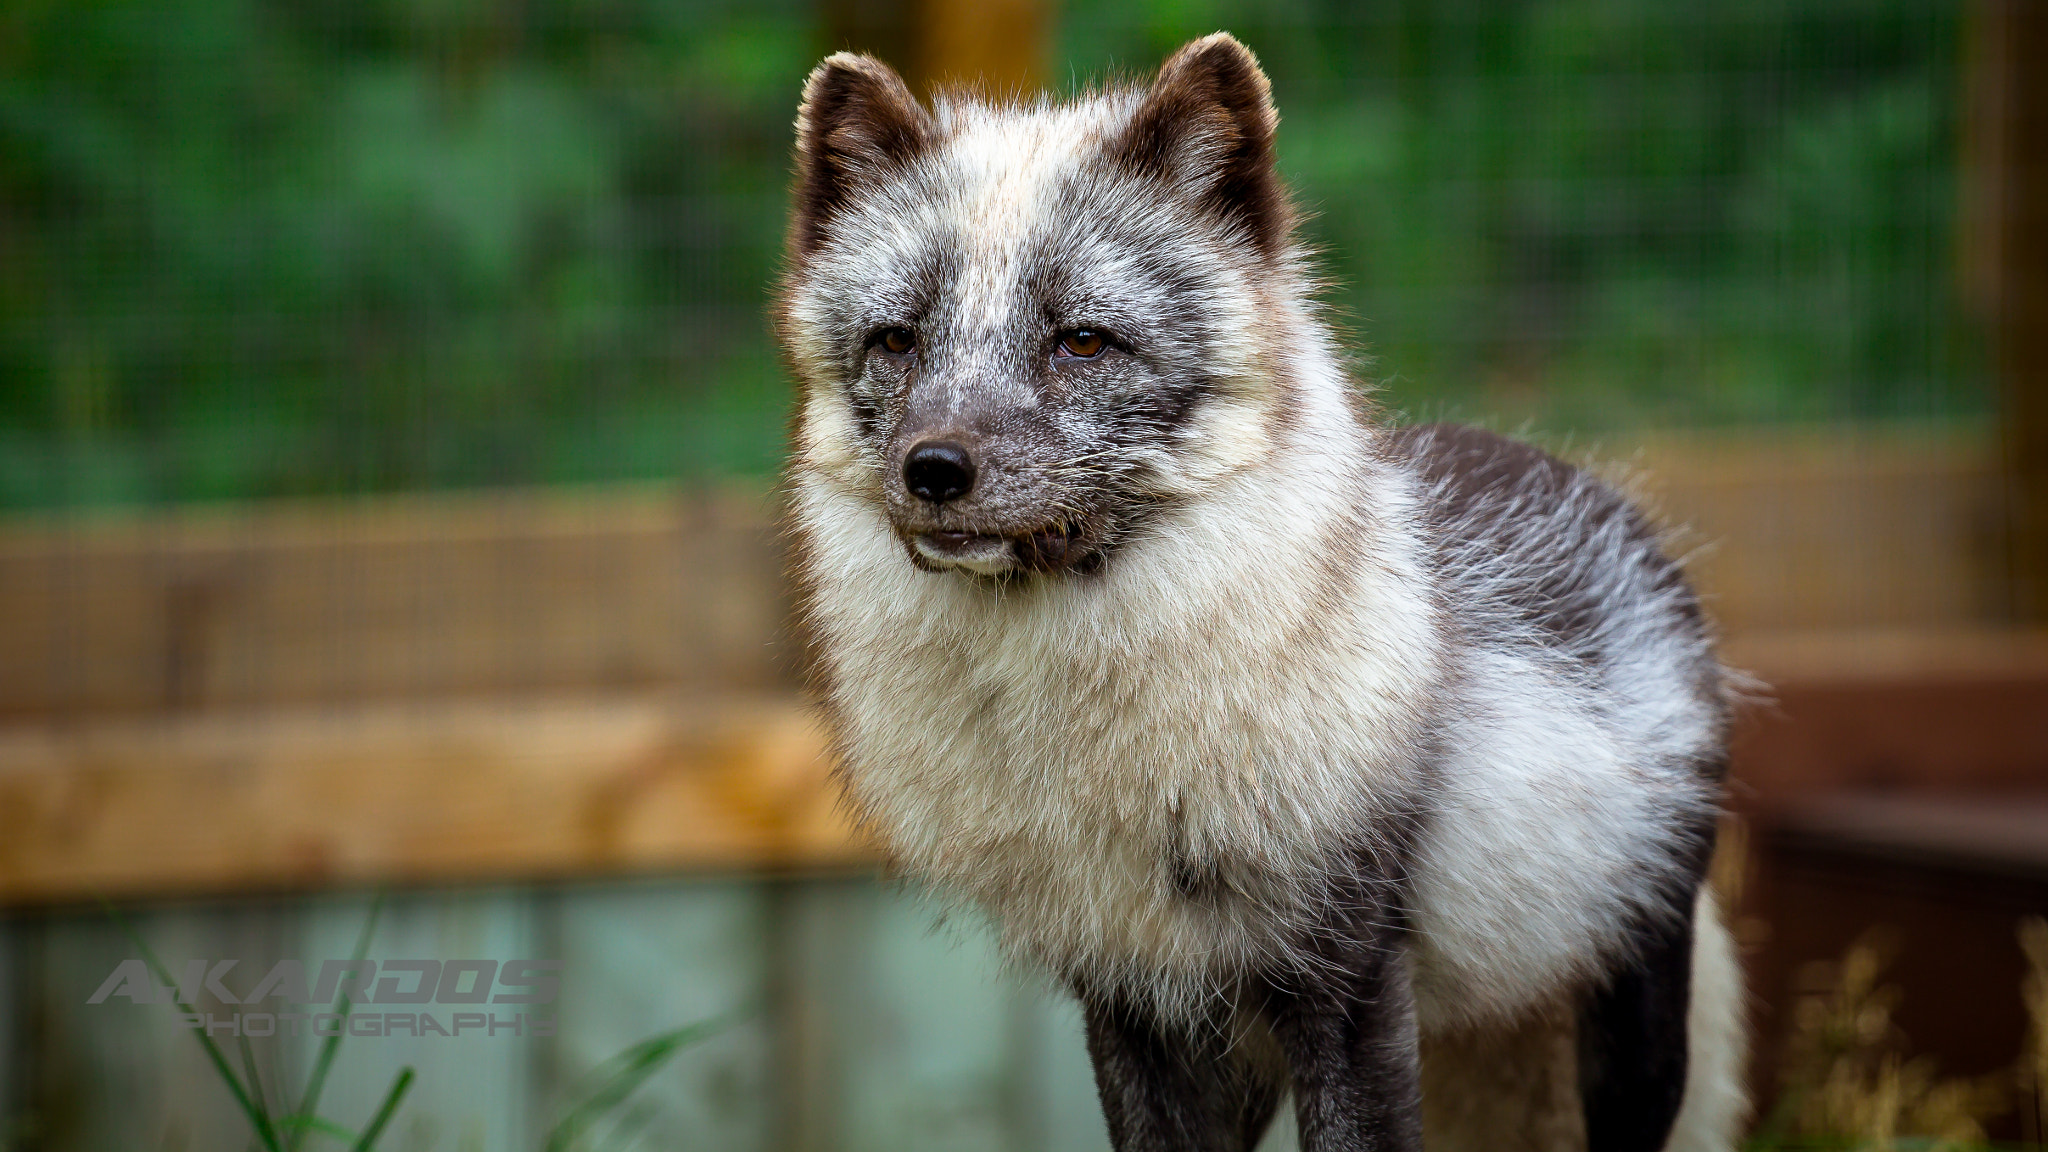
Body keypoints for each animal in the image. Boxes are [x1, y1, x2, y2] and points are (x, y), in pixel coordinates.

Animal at [778, 33, 1744, 1147]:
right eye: (896, 340)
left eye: (1082, 340)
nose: (932, 470)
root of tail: (1580, 479)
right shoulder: (1135, 1001)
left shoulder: (1347, 982)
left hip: (1636, 1030)